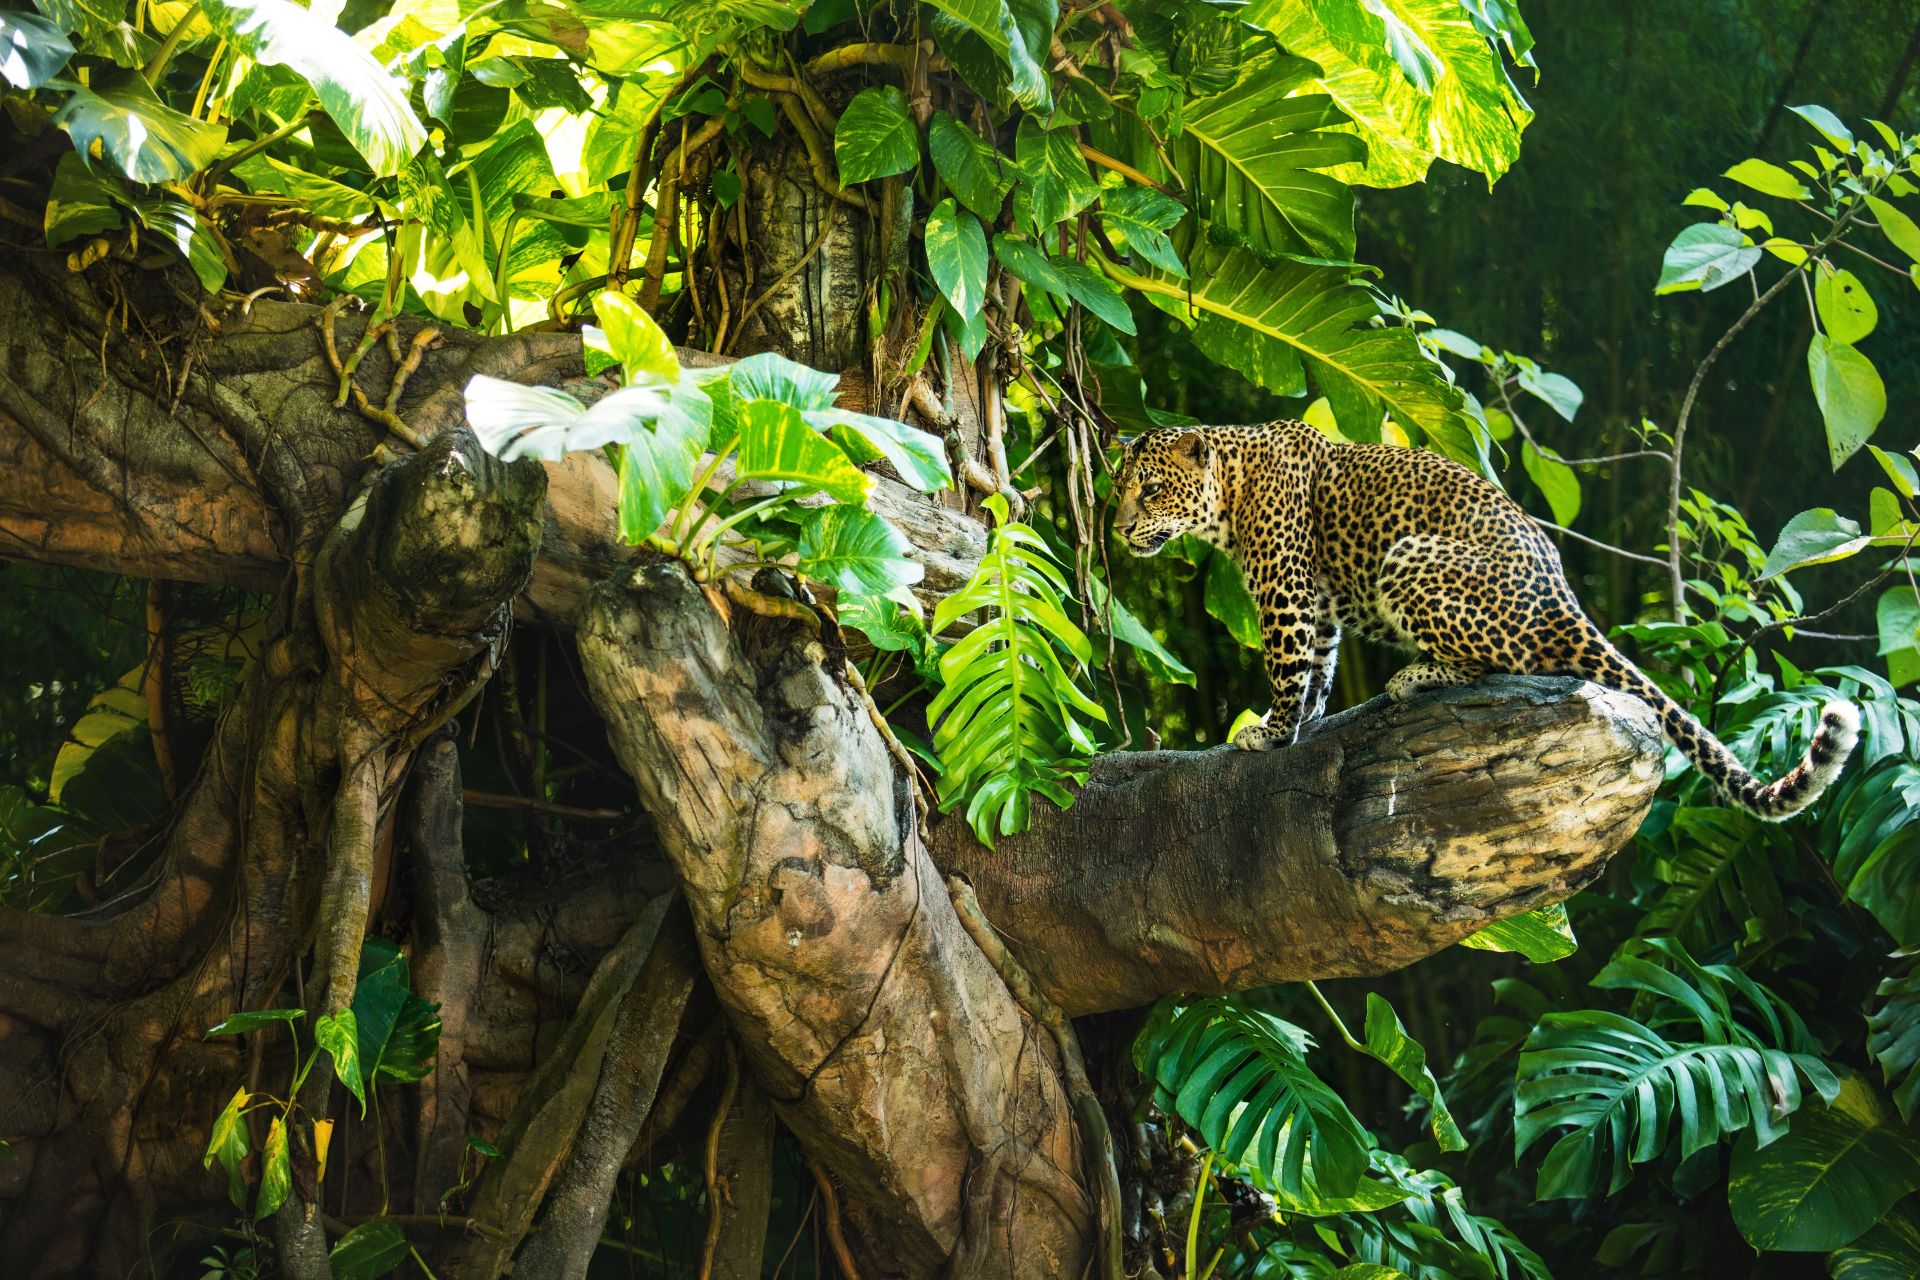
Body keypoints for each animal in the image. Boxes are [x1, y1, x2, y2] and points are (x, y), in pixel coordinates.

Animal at [1111, 421, 1859, 821]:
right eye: (1119, 489)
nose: (1116, 528)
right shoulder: (1317, 602)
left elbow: (1289, 668)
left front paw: (1268, 734)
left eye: (1151, 489)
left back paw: (1415, 677)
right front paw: (1307, 721)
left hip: (1411, 558)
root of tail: (1565, 598)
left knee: (1508, 661)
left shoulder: (1286, 591)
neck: (1230, 493)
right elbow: (1319, 667)